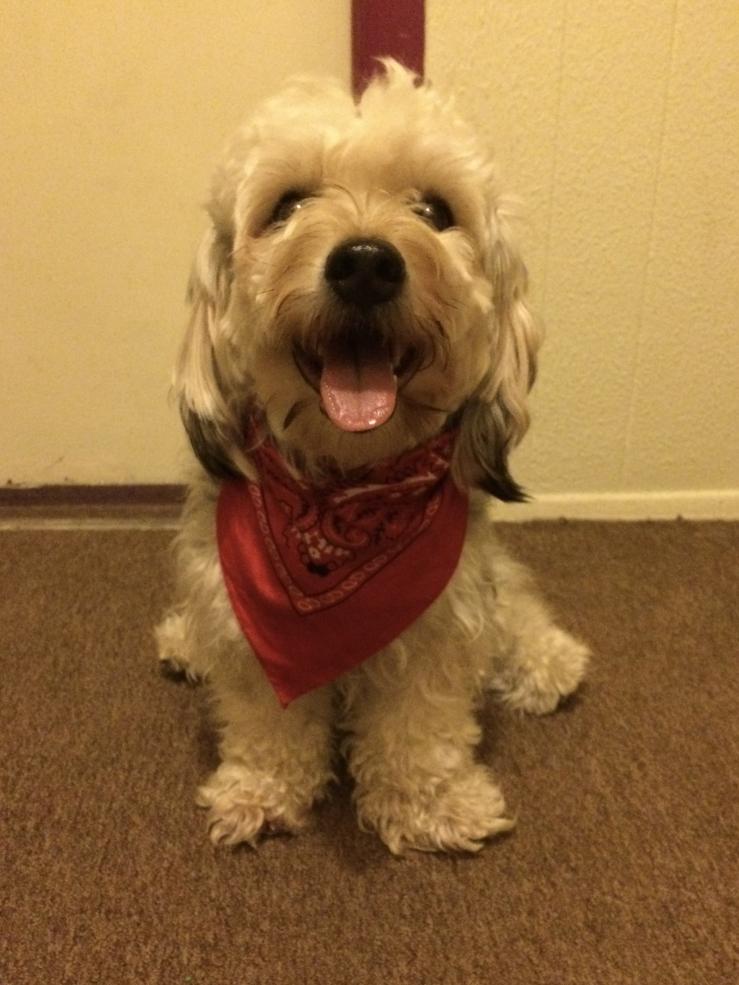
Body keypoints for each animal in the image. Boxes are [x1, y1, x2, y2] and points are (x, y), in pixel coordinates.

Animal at [156, 59, 588, 852]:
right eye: (287, 205)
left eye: (435, 210)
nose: (364, 263)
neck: (340, 493)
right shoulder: (244, 623)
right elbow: (267, 722)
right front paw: (264, 789)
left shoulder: (442, 620)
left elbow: (420, 726)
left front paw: (430, 803)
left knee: (515, 606)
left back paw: (546, 660)